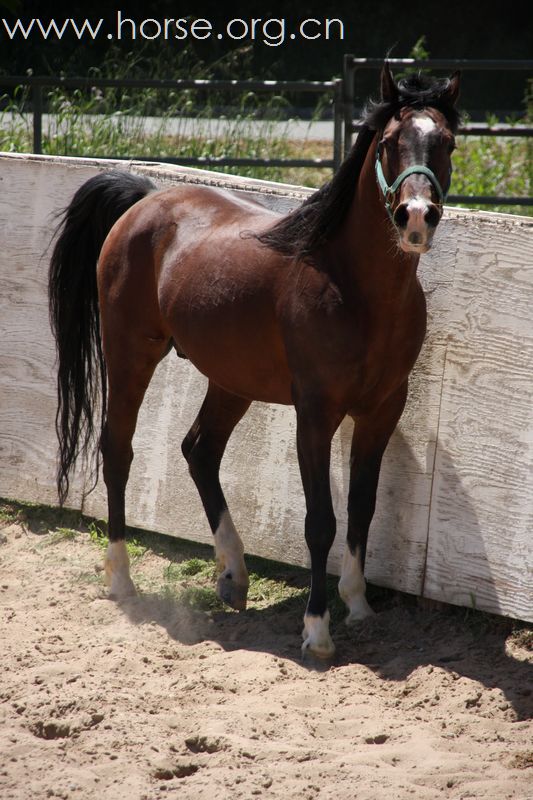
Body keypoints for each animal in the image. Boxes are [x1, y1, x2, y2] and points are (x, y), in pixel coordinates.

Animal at [47, 65, 460, 656]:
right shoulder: (315, 414)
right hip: (130, 355)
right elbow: (320, 521)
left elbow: (361, 509)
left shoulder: (383, 410)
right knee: (118, 451)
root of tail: (145, 200)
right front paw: (317, 630)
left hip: (230, 381)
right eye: (387, 143)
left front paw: (358, 604)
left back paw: (233, 574)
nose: (417, 216)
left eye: (446, 143)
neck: (353, 289)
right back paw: (122, 579)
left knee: (199, 450)